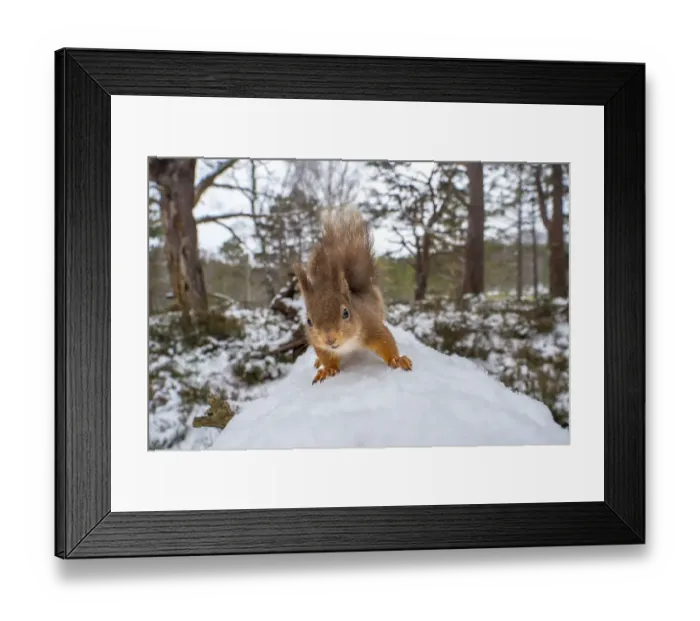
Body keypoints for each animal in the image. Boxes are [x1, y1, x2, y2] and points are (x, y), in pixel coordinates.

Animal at [293, 206, 413, 385]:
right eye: (308, 321)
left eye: (345, 313)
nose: (329, 339)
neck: (347, 345)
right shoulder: (319, 345)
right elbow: (327, 357)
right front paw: (327, 370)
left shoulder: (371, 325)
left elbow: (386, 341)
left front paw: (397, 359)